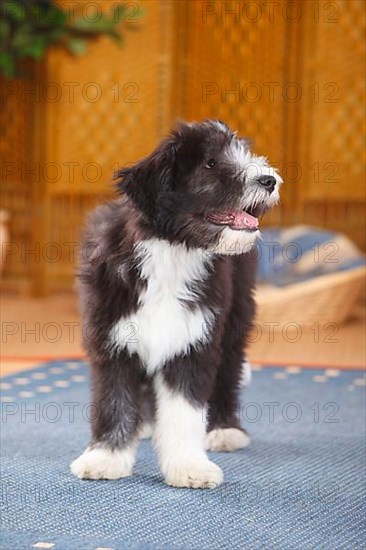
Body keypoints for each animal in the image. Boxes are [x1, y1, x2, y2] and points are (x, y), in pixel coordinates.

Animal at [72, 118, 284, 490]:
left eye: (243, 152)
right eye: (210, 163)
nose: (268, 180)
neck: (172, 250)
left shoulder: (193, 341)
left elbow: (184, 413)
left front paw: (189, 466)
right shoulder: (112, 339)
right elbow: (115, 400)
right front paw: (106, 458)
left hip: (235, 318)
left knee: (228, 372)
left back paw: (225, 429)